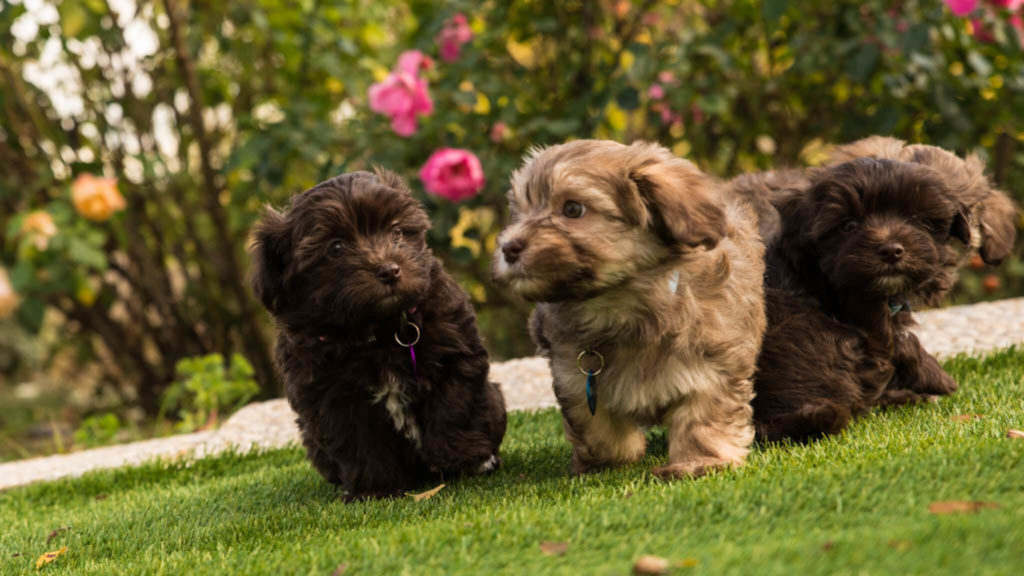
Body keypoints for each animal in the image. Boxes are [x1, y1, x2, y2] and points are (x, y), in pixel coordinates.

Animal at [247, 169, 503, 498]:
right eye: (336, 247)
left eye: (396, 231)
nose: (389, 270)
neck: (378, 331)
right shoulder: (330, 396)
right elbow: (358, 442)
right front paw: (374, 488)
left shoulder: (455, 351)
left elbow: (454, 405)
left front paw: (464, 457)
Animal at [491, 140, 765, 475]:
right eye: (520, 211)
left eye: (573, 209)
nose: (508, 248)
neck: (620, 307)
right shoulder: (573, 376)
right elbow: (595, 425)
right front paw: (612, 457)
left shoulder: (713, 364)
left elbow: (703, 419)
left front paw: (699, 462)